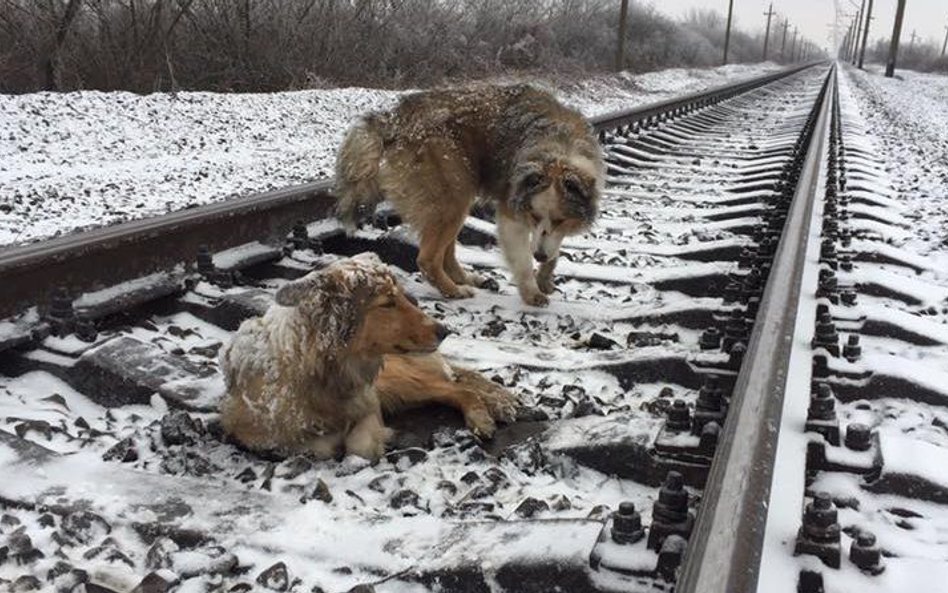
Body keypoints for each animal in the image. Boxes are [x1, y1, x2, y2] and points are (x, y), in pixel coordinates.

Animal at [220, 252, 520, 460]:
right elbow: (316, 446)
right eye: (387, 303)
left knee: (459, 388)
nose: (445, 330)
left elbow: (359, 446)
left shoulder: (370, 401)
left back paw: (483, 416)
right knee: (457, 385)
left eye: (401, 296)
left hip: (399, 381)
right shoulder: (252, 432)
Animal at [336, 84, 600, 306]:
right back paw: (453, 290)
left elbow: (554, 248)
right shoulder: (511, 211)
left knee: (447, 253)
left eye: (560, 220)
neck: (558, 148)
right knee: (428, 259)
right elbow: (523, 260)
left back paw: (470, 279)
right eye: (533, 216)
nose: (540, 255)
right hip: (453, 195)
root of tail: (394, 118)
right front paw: (531, 291)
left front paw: (545, 277)